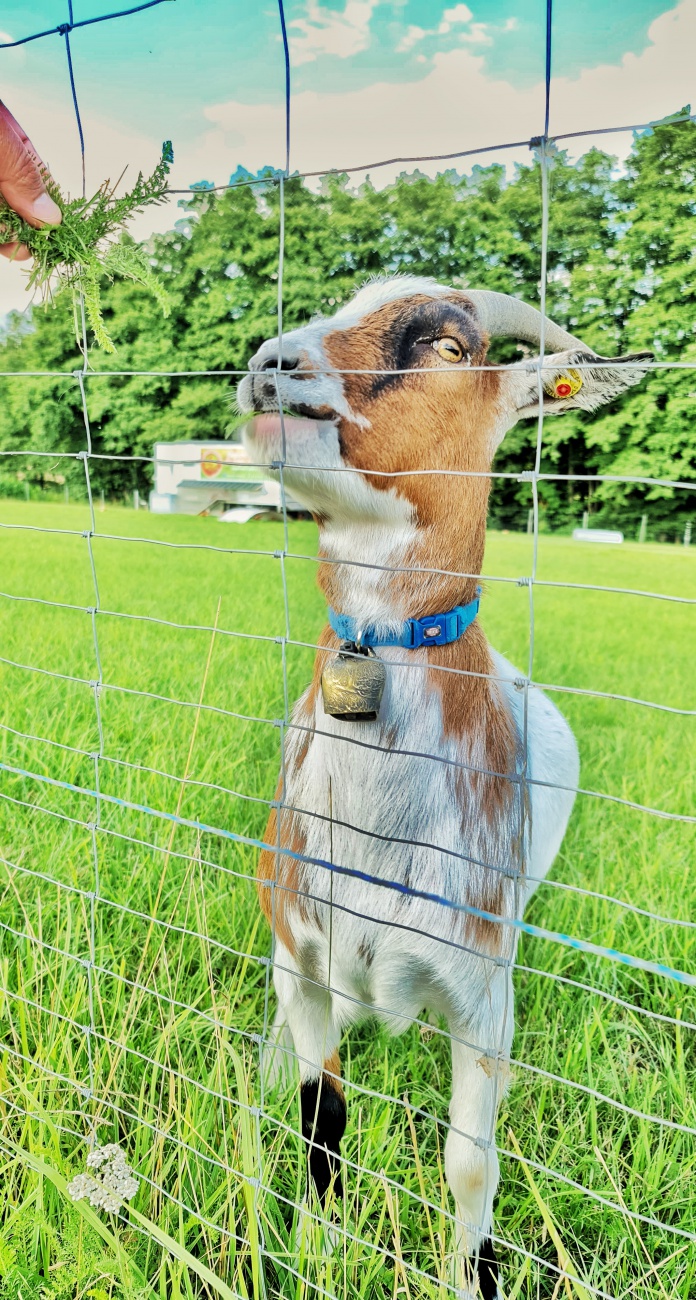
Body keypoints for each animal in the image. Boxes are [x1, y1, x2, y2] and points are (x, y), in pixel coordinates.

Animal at [236, 279, 650, 1294]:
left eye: (454, 348)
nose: (270, 366)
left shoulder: (482, 993)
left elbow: (470, 1162)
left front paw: (472, 1275)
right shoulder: (300, 954)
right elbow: (321, 1115)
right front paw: (317, 1246)